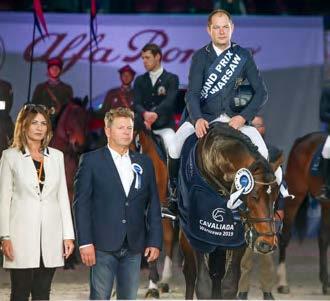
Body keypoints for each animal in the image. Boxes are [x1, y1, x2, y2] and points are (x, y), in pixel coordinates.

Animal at [178, 122, 282, 298]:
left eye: (276, 196)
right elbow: (203, 286)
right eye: (253, 195)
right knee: (190, 274)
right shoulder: (197, 233)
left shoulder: (238, 237)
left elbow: (229, 285)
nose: (266, 244)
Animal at [276, 131, 330, 292]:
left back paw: (325, 282)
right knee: (284, 236)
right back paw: (282, 283)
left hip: (326, 206)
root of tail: (303, 139)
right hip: (296, 196)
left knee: (323, 238)